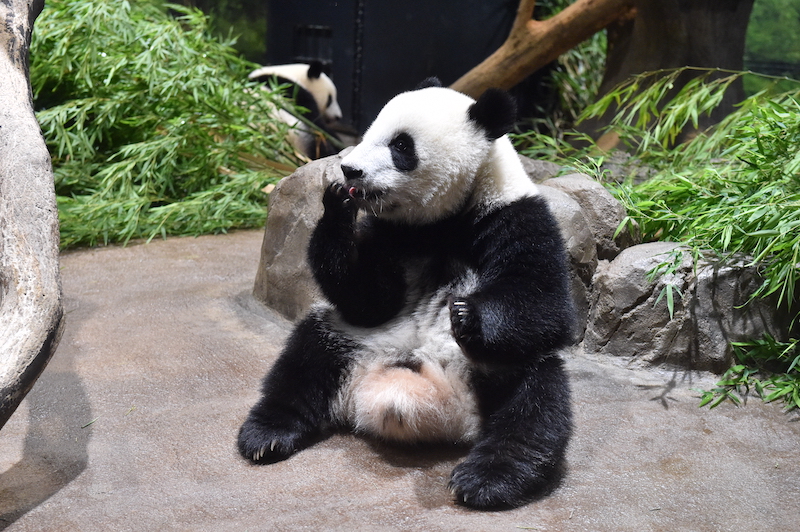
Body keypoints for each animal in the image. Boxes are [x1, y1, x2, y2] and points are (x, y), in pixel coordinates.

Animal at [238, 77, 576, 510]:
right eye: (368, 132)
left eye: (401, 145)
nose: (350, 168)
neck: (446, 220)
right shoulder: (391, 236)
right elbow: (369, 301)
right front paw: (336, 203)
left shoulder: (515, 218)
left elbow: (546, 304)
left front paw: (466, 315)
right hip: (352, 342)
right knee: (305, 360)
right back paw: (266, 435)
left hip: (494, 366)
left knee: (534, 400)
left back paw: (486, 480)